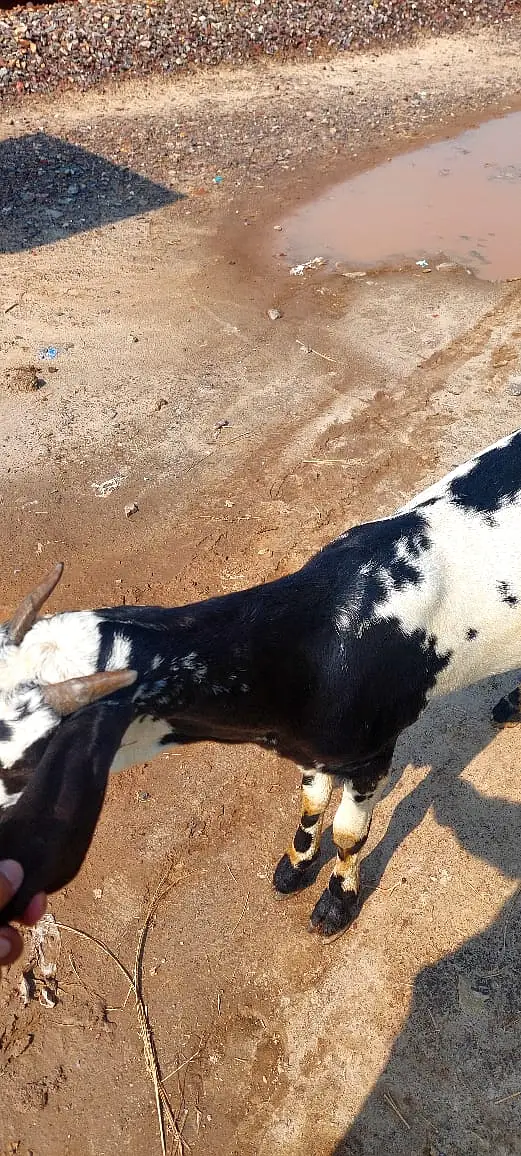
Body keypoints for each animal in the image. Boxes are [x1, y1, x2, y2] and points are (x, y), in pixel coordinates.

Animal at [1, 428, 521, 937]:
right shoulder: (311, 746)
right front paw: (294, 866)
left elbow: (349, 833)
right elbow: (312, 802)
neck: (319, 639)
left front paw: (336, 904)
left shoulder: (372, 753)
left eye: (25, 761)